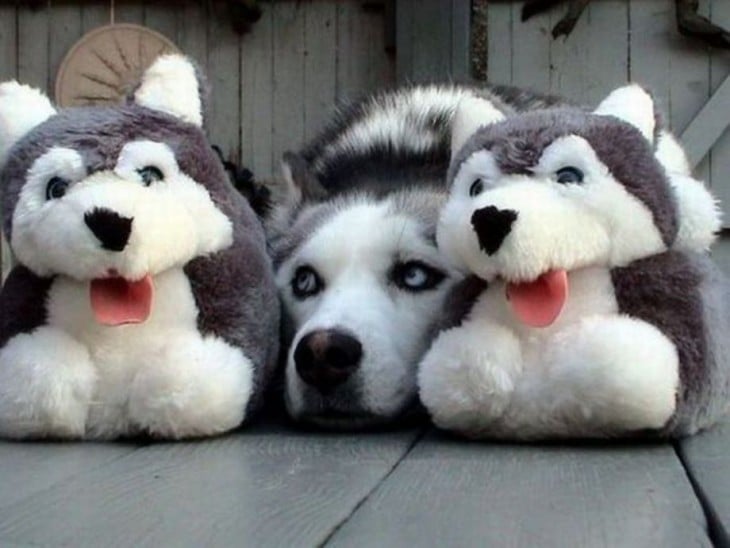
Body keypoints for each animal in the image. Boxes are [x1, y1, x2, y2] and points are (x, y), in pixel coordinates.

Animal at [418, 84, 724, 436]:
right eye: (476, 186)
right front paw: (484, 356)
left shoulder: (671, 286)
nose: (490, 219)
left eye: (568, 175)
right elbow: (450, 366)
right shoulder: (462, 298)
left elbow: (645, 367)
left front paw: (591, 353)